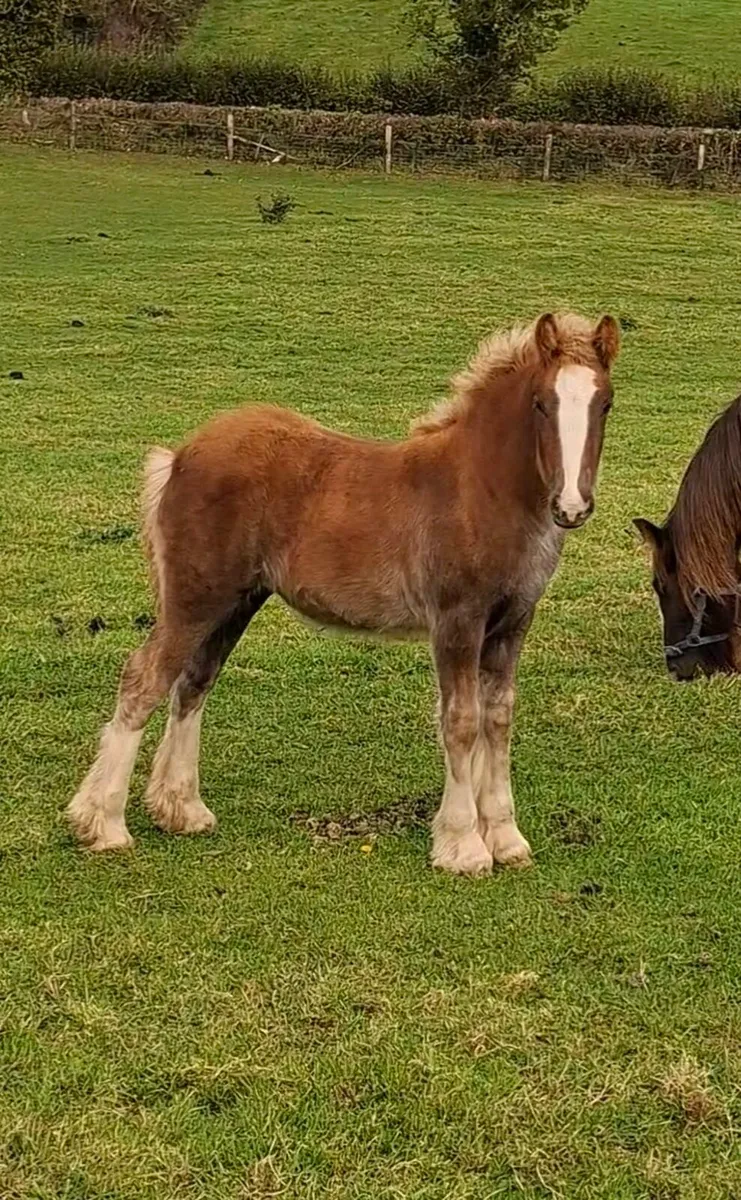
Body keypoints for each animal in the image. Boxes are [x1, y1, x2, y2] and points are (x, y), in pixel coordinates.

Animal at [68, 311, 620, 875]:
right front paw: (463, 846)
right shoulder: (456, 621)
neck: (480, 492)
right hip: (195, 598)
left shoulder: (513, 623)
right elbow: (462, 722)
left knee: (194, 683)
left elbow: (499, 718)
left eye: (606, 402)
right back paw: (104, 825)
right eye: (541, 402)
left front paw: (506, 839)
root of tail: (179, 457)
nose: (571, 506)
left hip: (237, 602)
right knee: (144, 679)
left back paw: (181, 810)